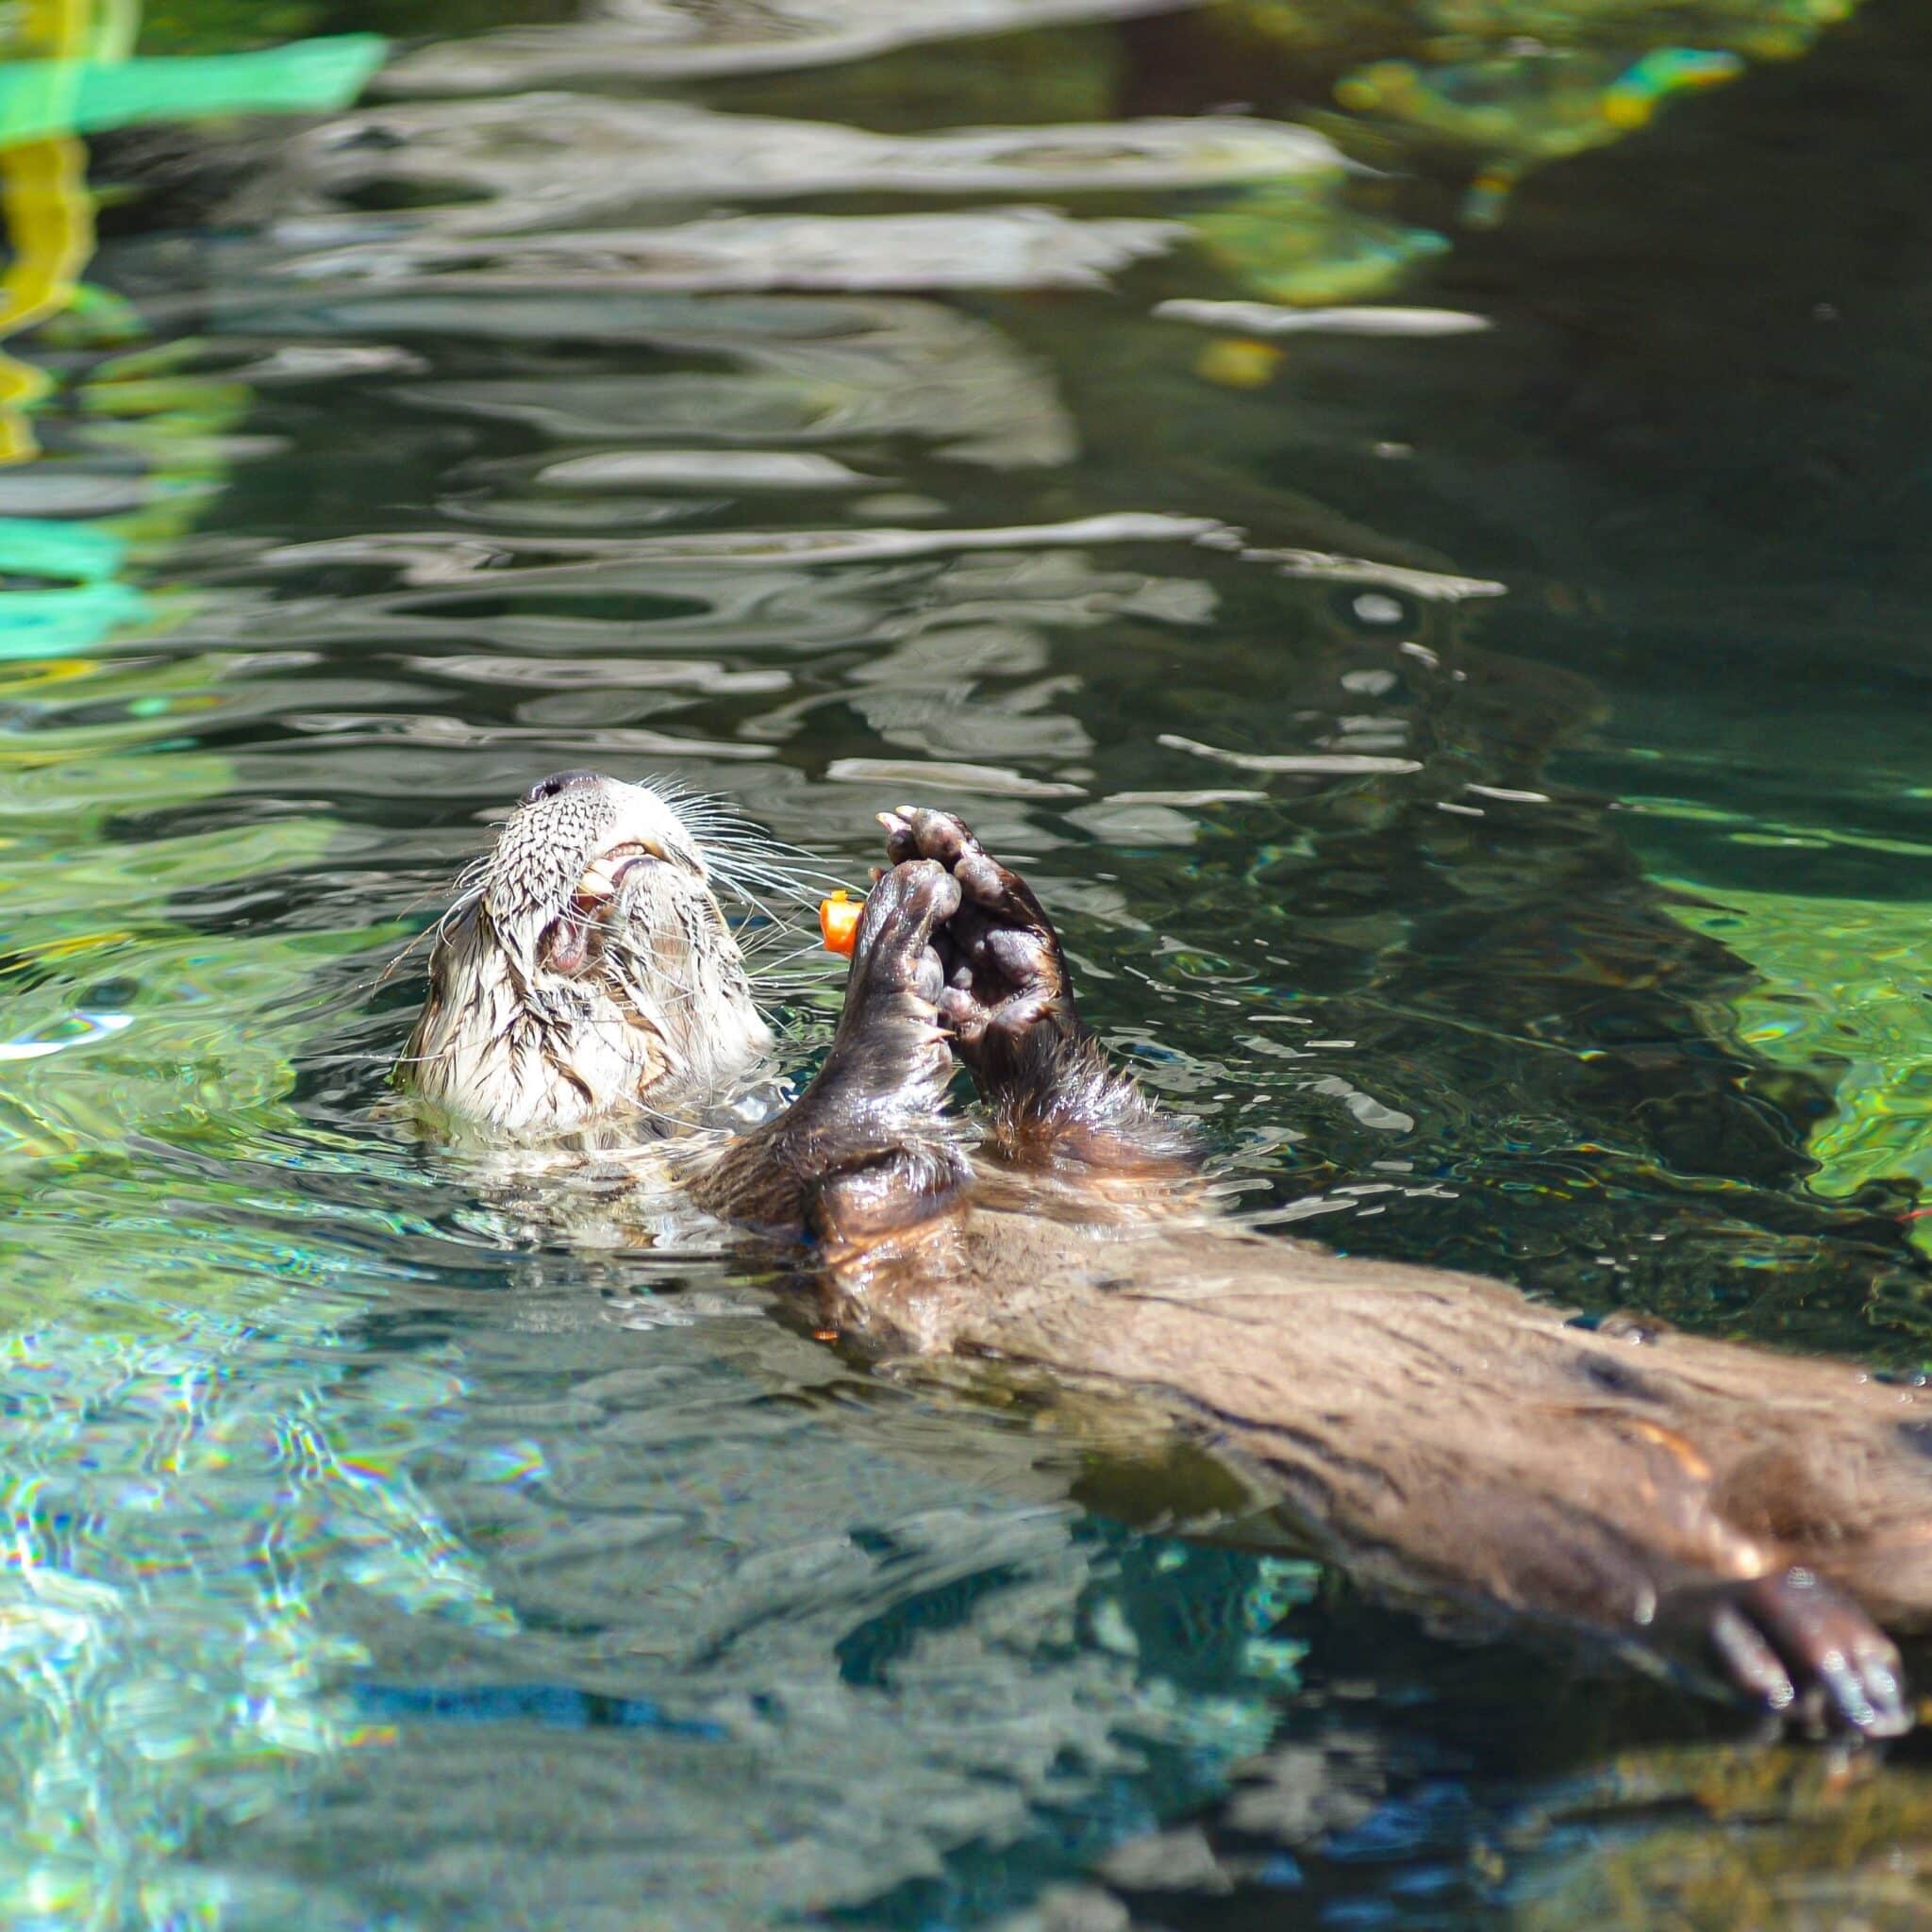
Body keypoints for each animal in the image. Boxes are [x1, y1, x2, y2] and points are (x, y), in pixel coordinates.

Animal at [399, 776, 1924, 1746]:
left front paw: (1003, 942)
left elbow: (1115, 1137)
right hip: (1488, 1520)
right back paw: (1791, 1641)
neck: (673, 1149)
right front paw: (889, 990)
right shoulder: (770, 1218)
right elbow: (840, 1152)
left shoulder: (1109, 1182)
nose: (554, 768)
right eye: (451, 949)